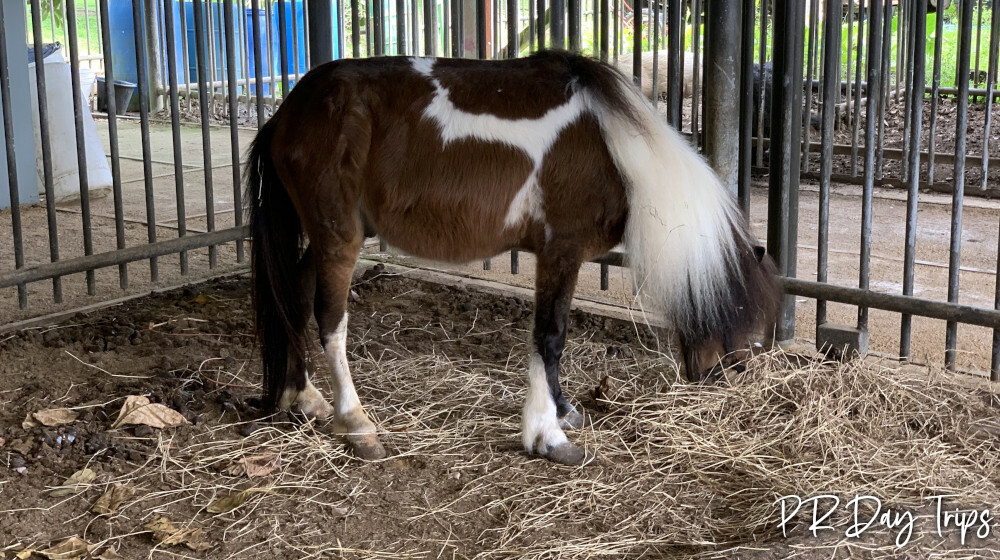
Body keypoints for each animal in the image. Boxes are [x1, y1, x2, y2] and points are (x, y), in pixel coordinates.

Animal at [244, 51, 780, 464]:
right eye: (742, 317)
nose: (722, 380)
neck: (616, 152)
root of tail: (288, 112)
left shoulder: (559, 256)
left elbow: (554, 339)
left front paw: (563, 412)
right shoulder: (561, 251)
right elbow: (549, 337)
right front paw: (548, 437)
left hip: (325, 237)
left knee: (294, 296)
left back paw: (303, 397)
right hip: (340, 237)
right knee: (330, 320)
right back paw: (356, 424)